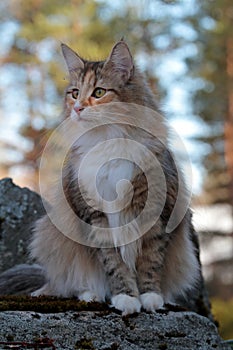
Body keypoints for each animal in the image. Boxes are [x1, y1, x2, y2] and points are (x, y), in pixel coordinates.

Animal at [29, 40, 200, 314]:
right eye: (74, 93)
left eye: (99, 92)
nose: (77, 108)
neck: (108, 141)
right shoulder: (94, 214)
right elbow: (114, 263)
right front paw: (126, 298)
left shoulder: (155, 210)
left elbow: (150, 261)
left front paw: (150, 297)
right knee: (75, 282)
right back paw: (91, 295)